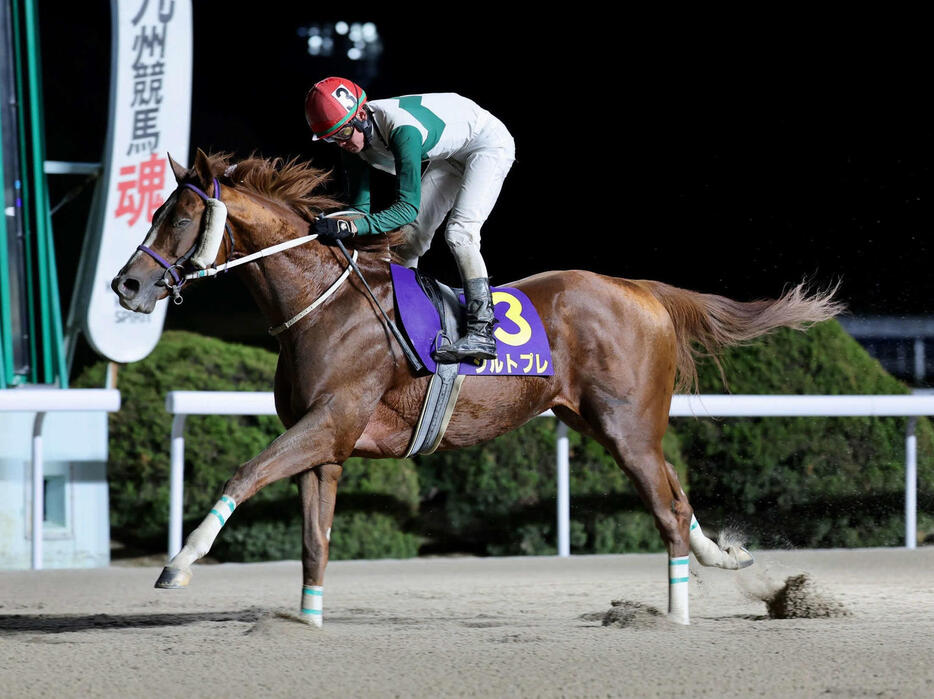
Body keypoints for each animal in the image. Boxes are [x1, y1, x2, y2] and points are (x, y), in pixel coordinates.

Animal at [113, 149, 844, 628]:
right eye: (156, 210)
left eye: (178, 217)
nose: (127, 284)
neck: (324, 307)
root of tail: (642, 290)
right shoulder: (327, 447)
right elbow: (314, 541)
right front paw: (306, 622)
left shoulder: (329, 421)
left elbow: (245, 471)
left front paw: (178, 564)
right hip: (606, 424)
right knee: (679, 496)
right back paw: (729, 559)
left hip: (628, 428)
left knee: (666, 512)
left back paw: (673, 618)